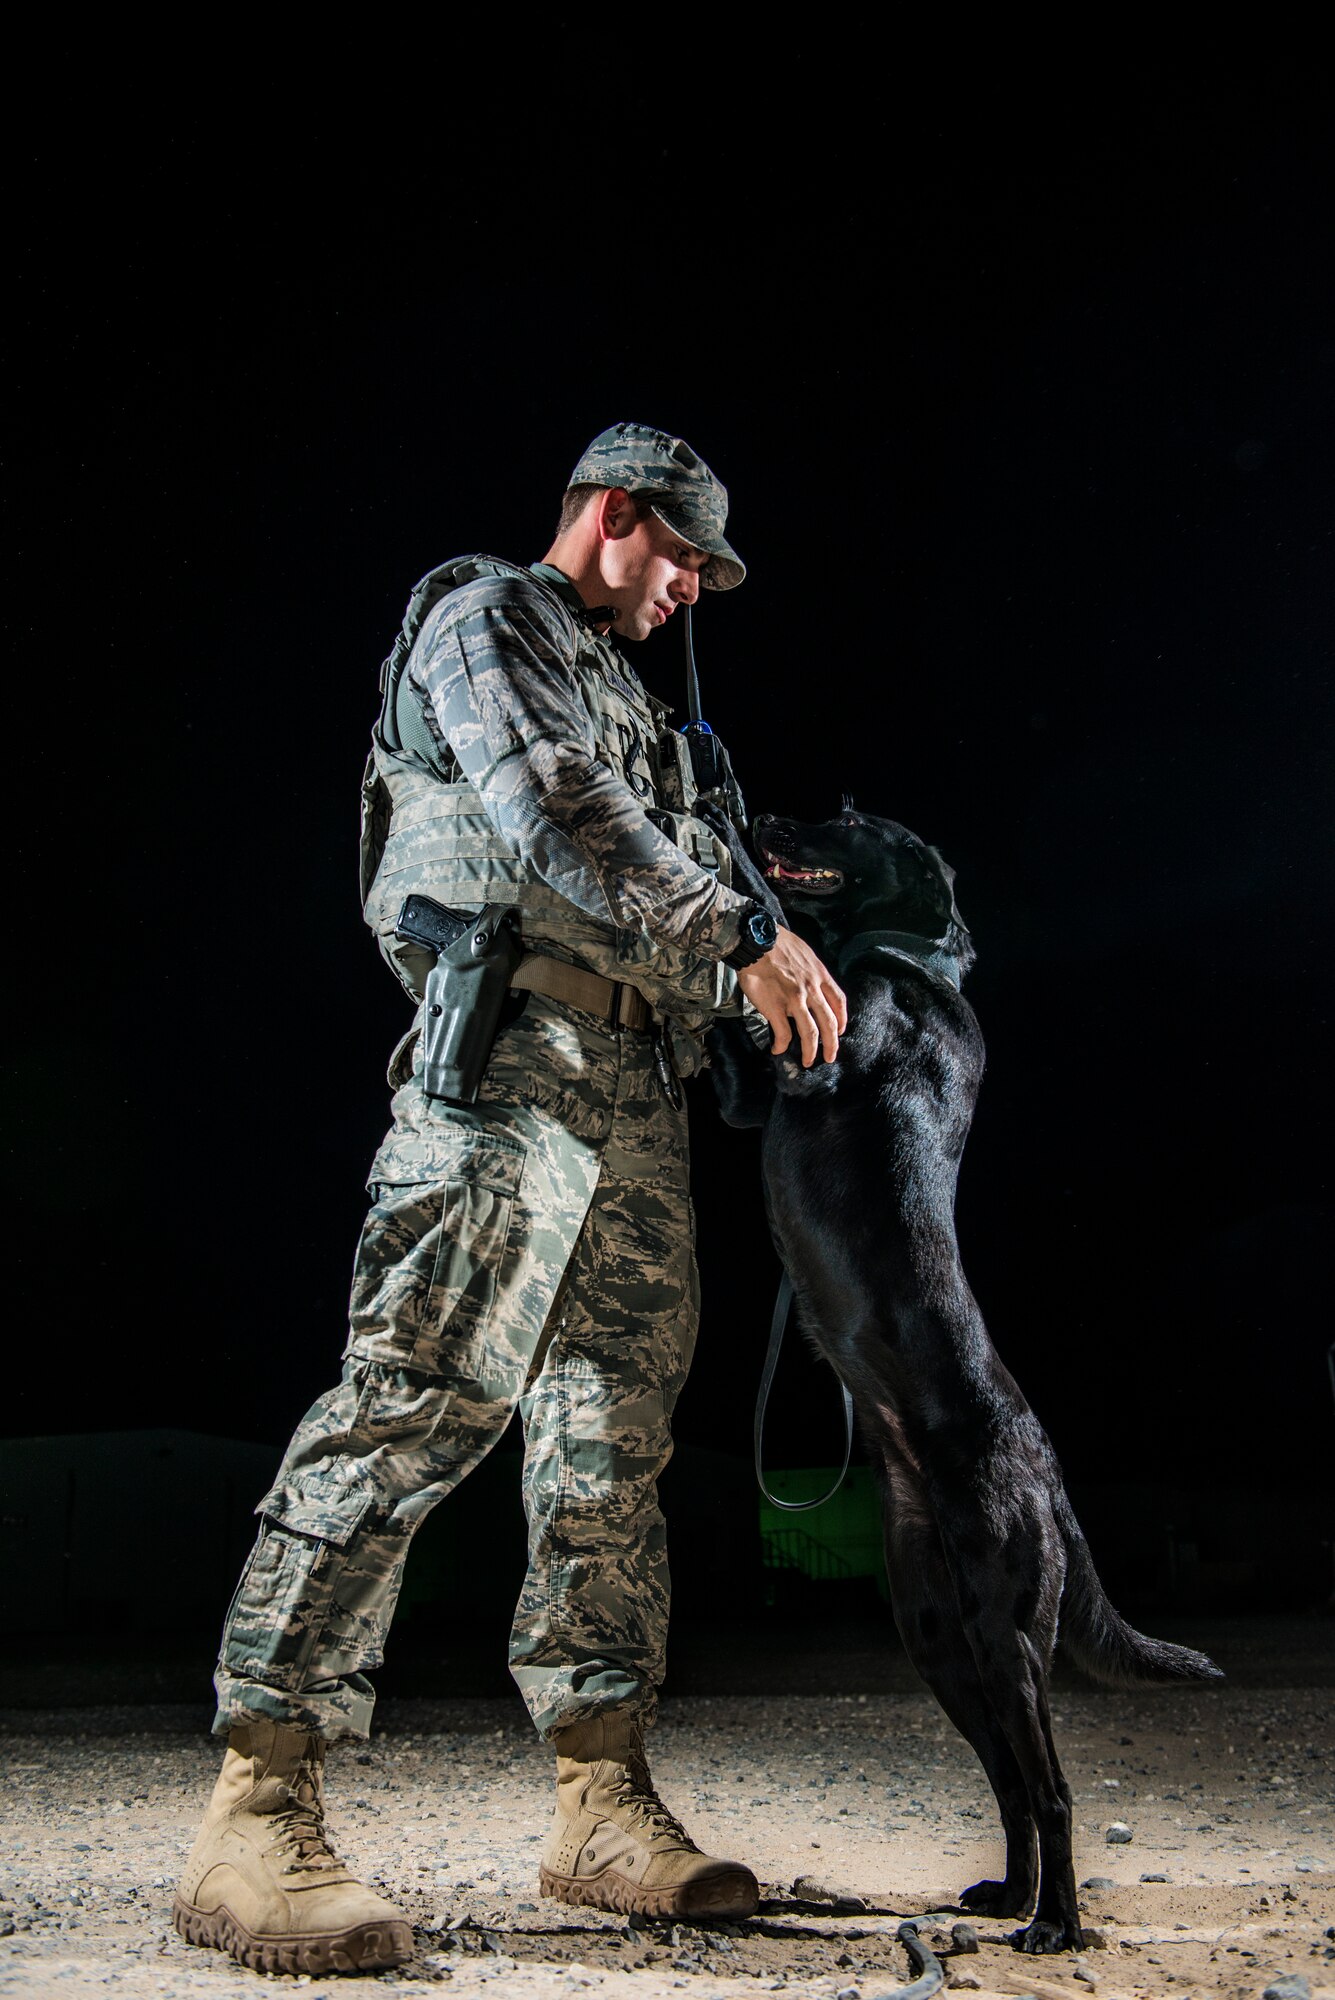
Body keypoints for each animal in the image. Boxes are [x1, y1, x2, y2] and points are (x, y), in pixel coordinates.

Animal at [707, 800, 1223, 1952]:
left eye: (844, 816)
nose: (763, 815)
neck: (908, 957)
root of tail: (1049, 1472)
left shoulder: (816, 1060)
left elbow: (759, 1013)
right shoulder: (756, 1100)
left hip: (1008, 1634)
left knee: (1054, 1786)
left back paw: (1058, 1924)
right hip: (938, 1637)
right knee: (1011, 1786)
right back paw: (1011, 1895)